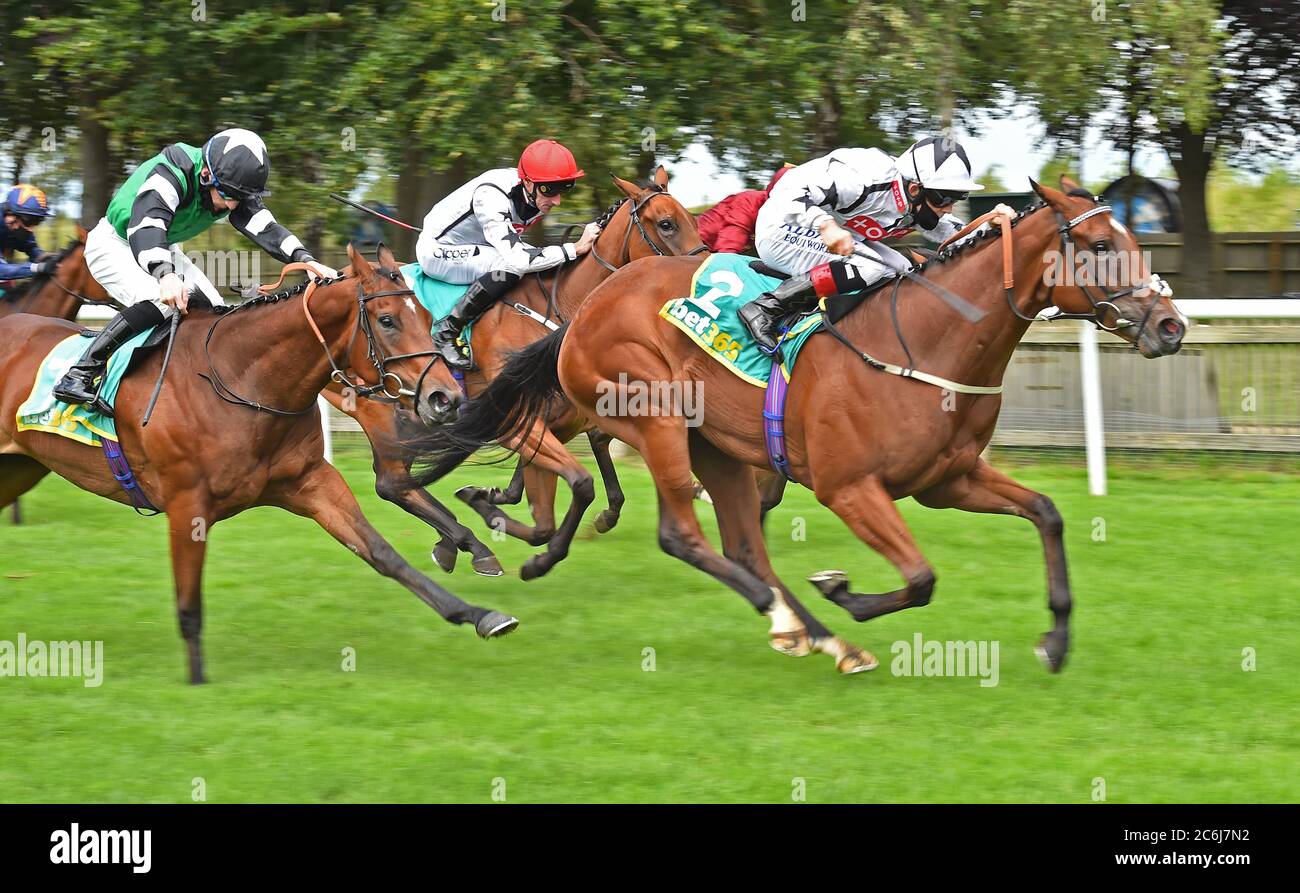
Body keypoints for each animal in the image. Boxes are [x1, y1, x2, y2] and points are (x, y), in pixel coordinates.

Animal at [0, 244, 517, 686]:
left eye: (429, 317)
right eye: (387, 320)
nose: (445, 399)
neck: (241, 379)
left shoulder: (311, 481)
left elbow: (383, 553)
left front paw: (480, 614)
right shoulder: (187, 503)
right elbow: (189, 605)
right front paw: (196, 683)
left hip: (19, 469)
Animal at [428, 178, 1190, 675]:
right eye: (1099, 241)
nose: (1170, 325)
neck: (926, 341)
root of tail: (584, 313)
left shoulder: (949, 479)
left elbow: (1048, 513)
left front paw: (1055, 640)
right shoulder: (848, 487)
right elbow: (921, 576)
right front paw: (844, 590)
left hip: (718, 447)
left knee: (742, 545)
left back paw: (814, 633)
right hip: (658, 417)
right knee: (682, 534)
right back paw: (796, 620)